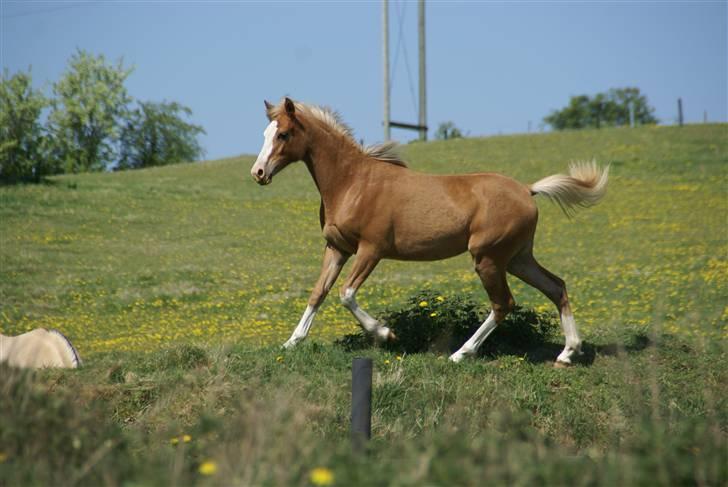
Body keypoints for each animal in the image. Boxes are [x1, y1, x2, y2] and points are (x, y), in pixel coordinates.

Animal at [250, 98, 608, 366]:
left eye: (283, 134)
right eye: (265, 133)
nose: (258, 173)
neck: (352, 183)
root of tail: (527, 190)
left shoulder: (371, 249)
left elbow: (346, 294)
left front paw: (385, 333)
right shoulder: (337, 248)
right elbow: (318, 293)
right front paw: (291, 342)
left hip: (488, 258)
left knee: (503, 303)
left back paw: (460, 354)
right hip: (518, 258)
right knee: (556, 287)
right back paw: (568, 353)